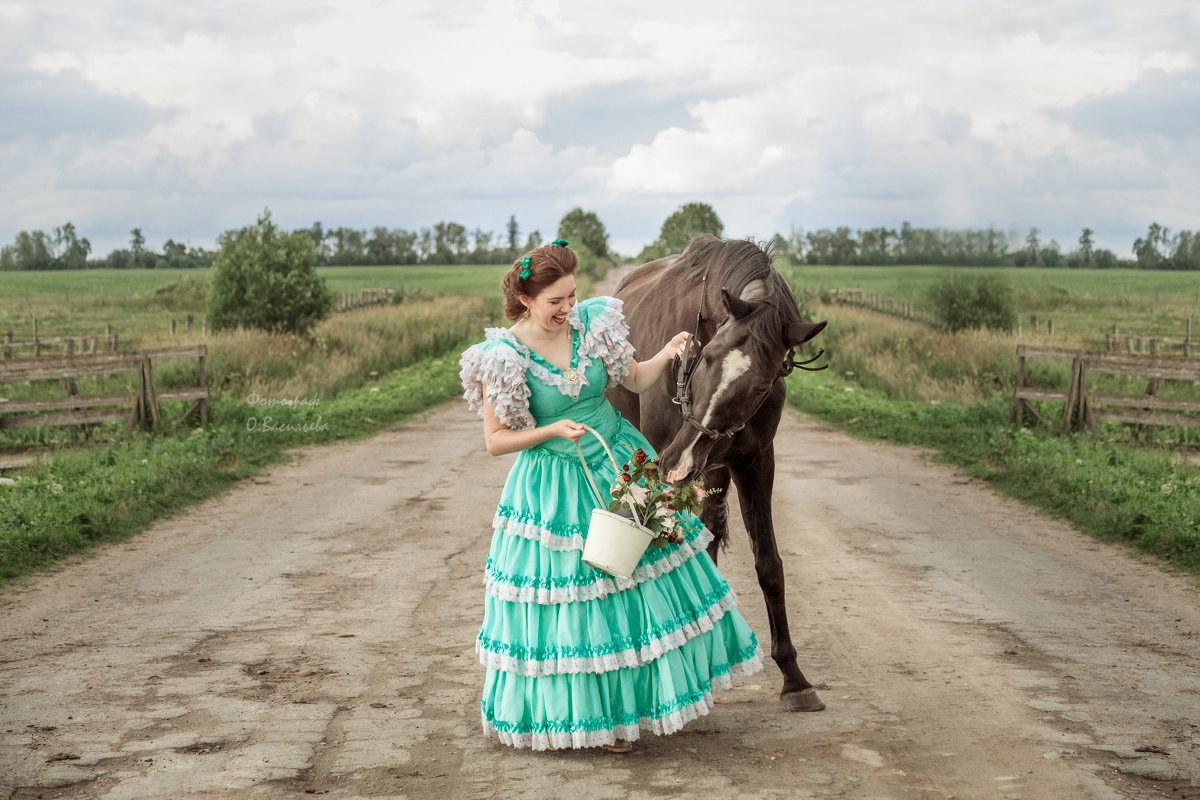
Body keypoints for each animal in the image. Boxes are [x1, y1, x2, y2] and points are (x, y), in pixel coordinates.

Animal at [609, 232, 825, 714]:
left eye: (761, 386)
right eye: (705, 356)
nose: (679, 461)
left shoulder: (756, 464)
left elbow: (769, 565)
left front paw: (795, 678)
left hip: (712, 473)